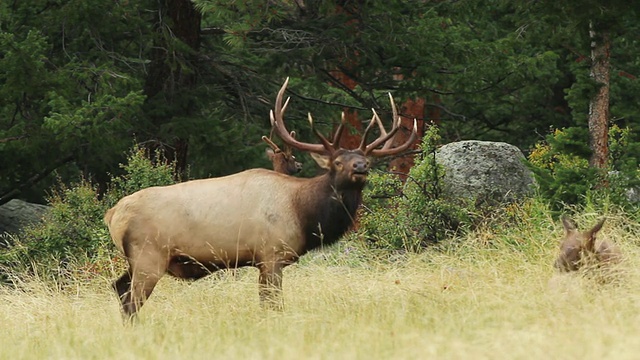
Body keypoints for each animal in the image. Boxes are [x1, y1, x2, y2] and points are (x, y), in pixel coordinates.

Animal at [103, 77, 418, 320]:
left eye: (366, 159)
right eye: (338, 162)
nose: (361, 167)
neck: (303, 213)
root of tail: (113, 214)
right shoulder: (271, 255)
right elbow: (272, 305)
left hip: (137, 260)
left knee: (118, 288)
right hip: (149, 256)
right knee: (131, 300)